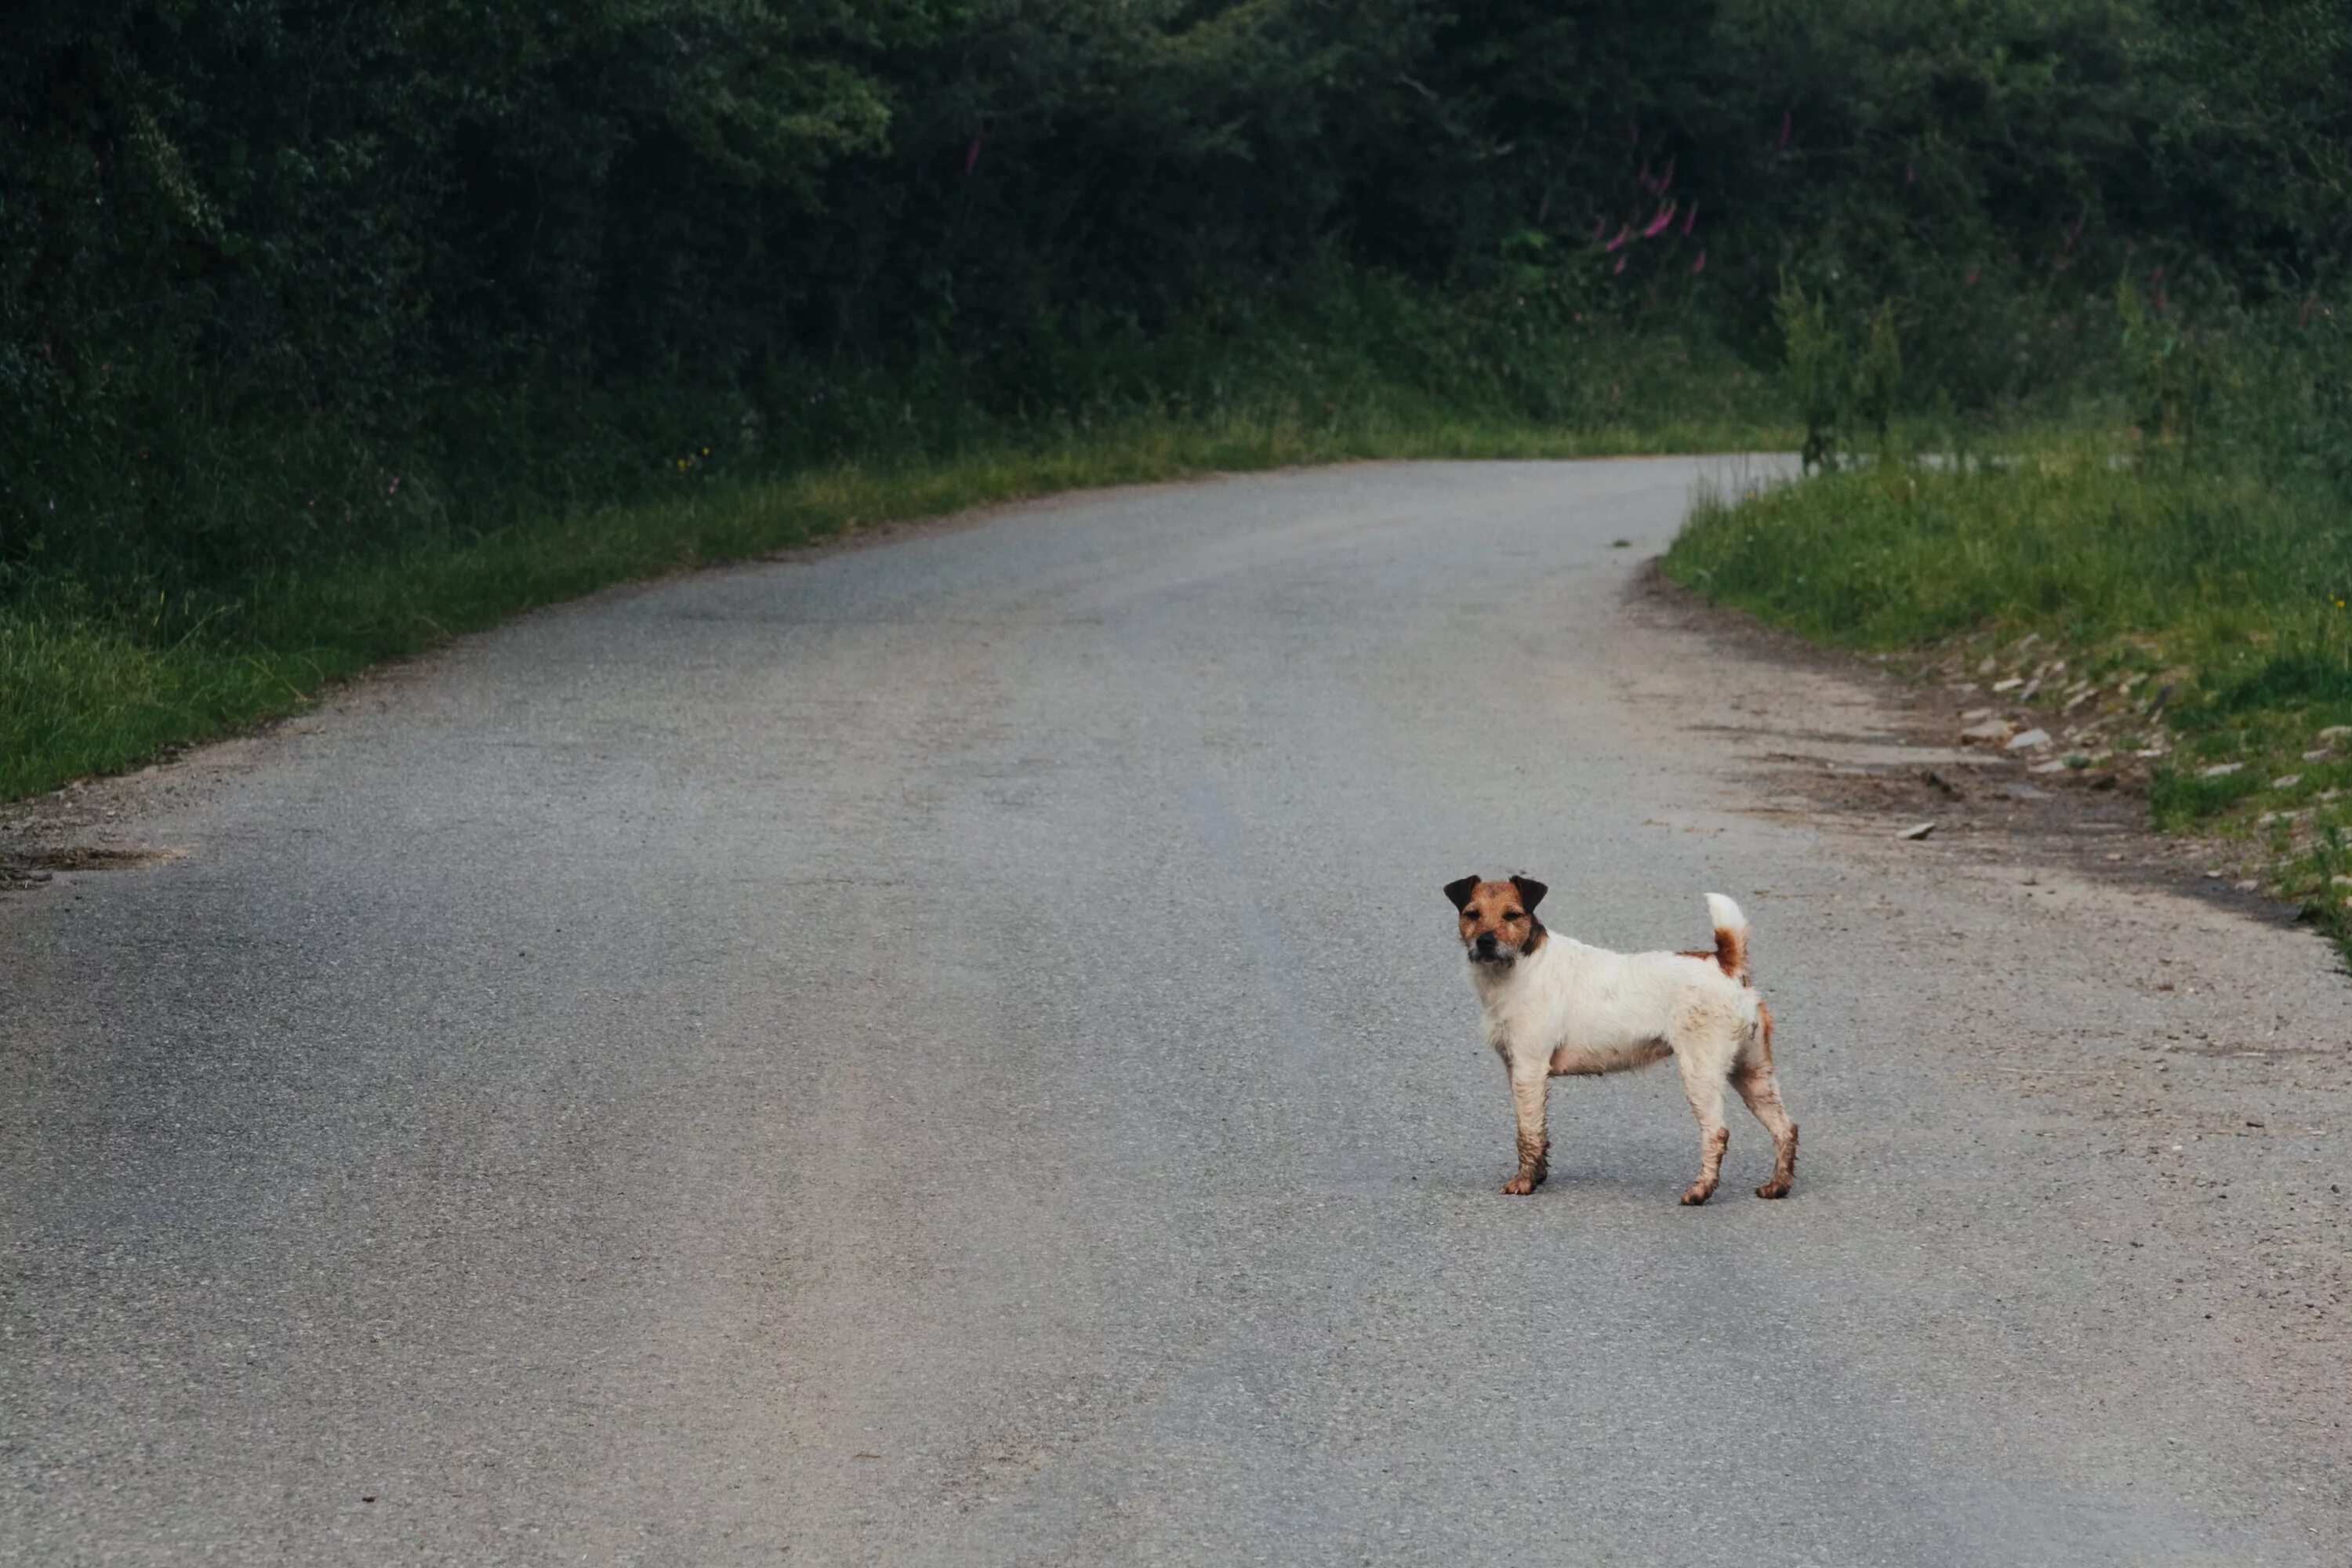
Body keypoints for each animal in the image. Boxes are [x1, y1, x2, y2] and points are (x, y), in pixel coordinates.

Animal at [1430, 879, 1797, 1213]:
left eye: (1512, 915)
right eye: (1472, 914)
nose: (1485, 942)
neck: (1523, 964)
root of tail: (1726, 965)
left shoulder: (1528, 1070)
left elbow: (1528, 1132)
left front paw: (1524, 1182)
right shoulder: (1518, 1071)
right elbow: (1538, 1129)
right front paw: (1538, 1176)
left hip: (1701, 1074)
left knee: (1717, 1133)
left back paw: (1700, 1192)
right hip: (1753, 1073)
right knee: (1785, 1127)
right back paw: (1777, 1186)